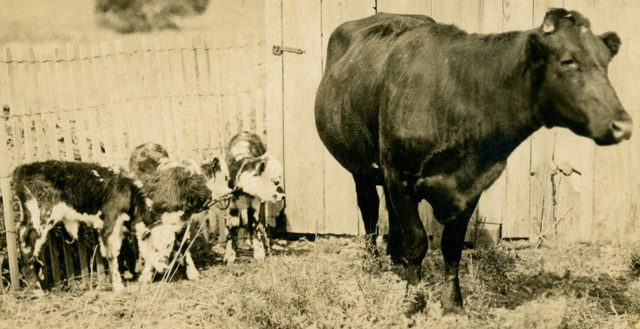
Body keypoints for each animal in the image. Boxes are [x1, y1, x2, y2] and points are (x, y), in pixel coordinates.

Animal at [12, 160, 172, 290]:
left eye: (169, 247)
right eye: (155, 247)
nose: (166, 268)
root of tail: (23, 169)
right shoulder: (110, 221)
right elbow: (112, 253)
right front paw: (118, 286)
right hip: (40, 217)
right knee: (27, 244)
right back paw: (36, 289)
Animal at [225, 131, 284, 264]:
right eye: (275, 181)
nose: (283, 196)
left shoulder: (255, 205)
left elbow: (255, 224)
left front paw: (259, 253)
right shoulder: (232, 205)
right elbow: (233, 226)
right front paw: (229, 256)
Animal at [316, 9, 632, 314]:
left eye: (605, 63)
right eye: (568, 60)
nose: (623, 125)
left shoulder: (472, 186)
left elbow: (452, 246)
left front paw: (453, 304)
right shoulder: (400, 174)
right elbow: (417, 241)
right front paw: (413, 301)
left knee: (391, 212)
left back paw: (396, 259)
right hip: (360, 164)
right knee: (369, 208)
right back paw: (372, 263)